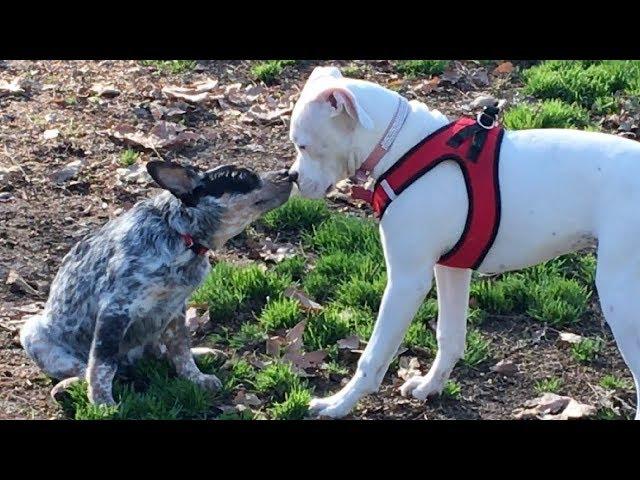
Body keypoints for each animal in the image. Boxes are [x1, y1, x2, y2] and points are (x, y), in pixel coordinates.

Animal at [20, 160, 294, 404]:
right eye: (242, 177)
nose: (289, 173)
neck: (179, 236)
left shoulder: (175, 307)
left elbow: (180, 349)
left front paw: (196, 378)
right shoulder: (115, 310)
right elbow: (102, 365)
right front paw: (102, 403)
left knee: (159, 353)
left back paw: (203, 353)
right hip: (31, 330)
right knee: (88, 369)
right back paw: (67, 386)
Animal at [288, 65, 640, 418]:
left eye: (302, 145)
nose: (291, 177)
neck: (401, 144)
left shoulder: (407, 281)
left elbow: (373, 355)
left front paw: (339, 403)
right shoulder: (451, 269)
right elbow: (450, 336)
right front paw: (430, 386)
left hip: (620, 297)